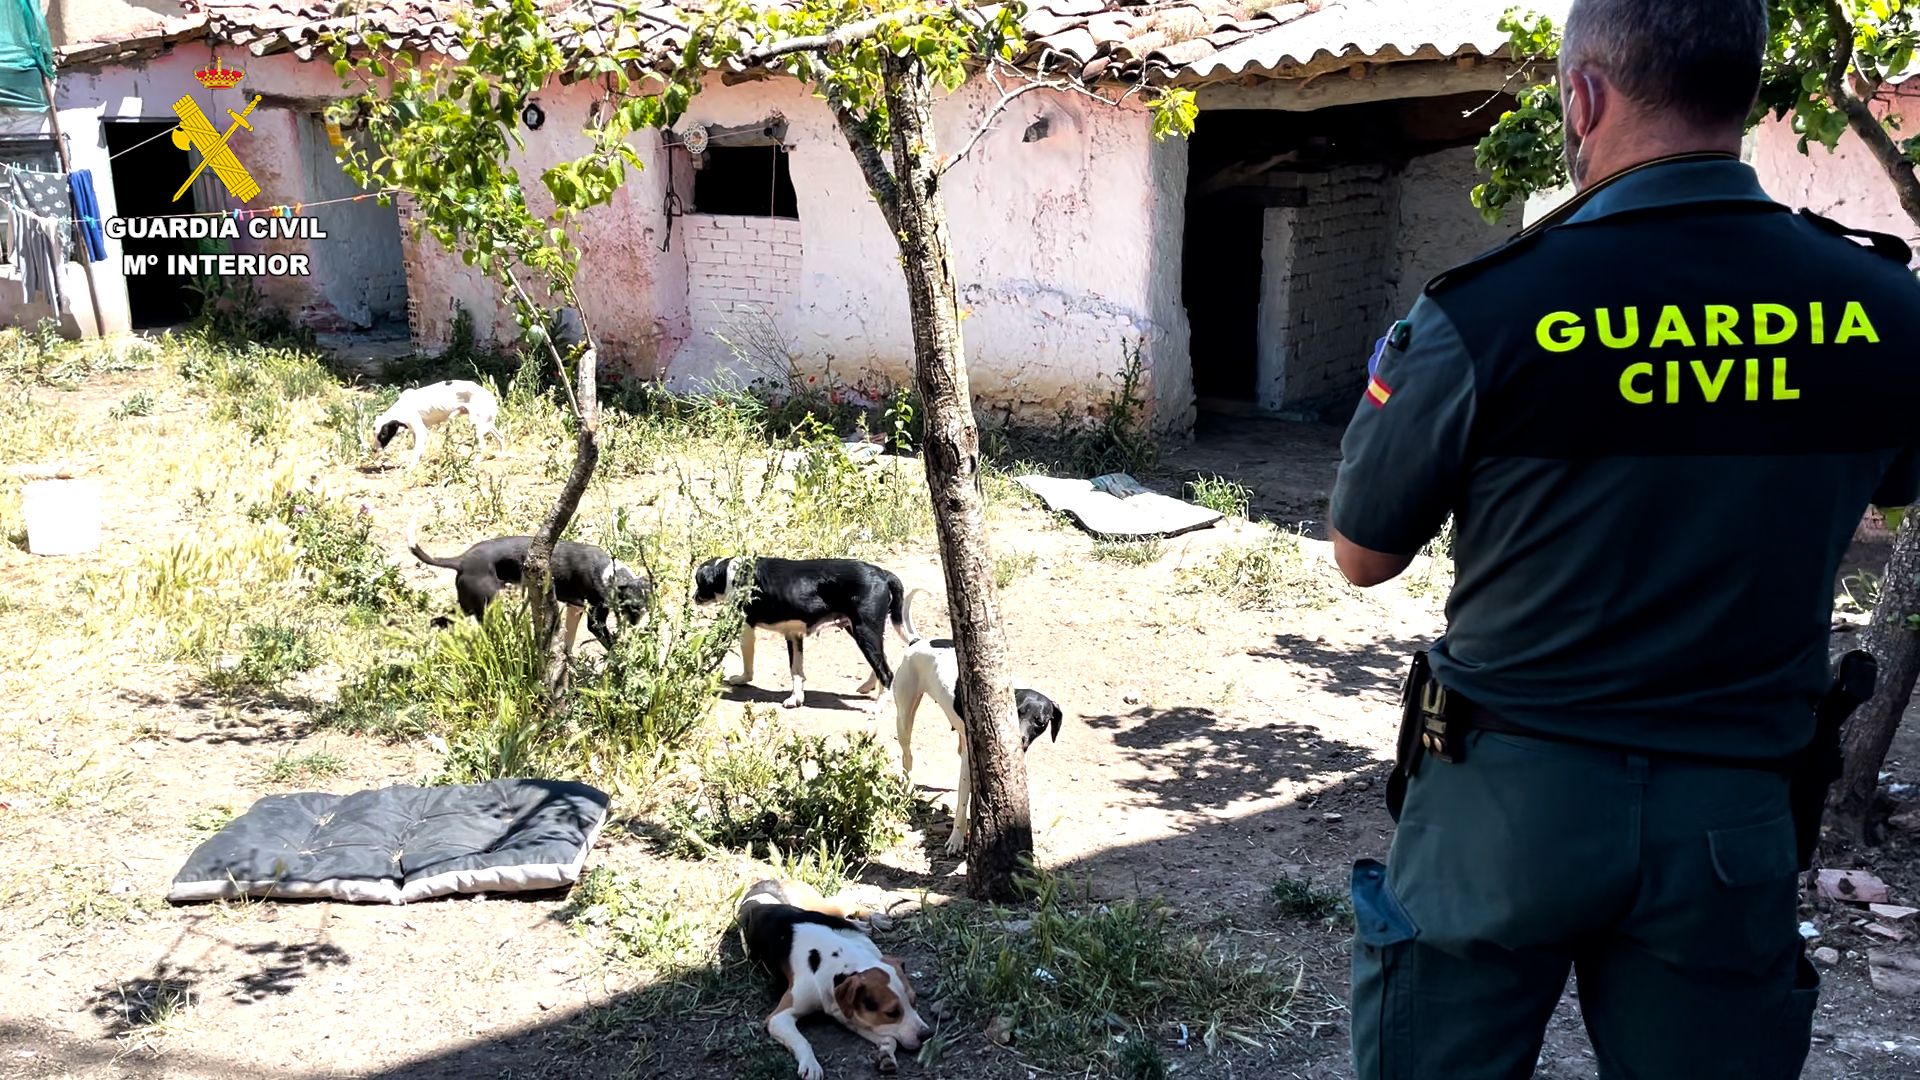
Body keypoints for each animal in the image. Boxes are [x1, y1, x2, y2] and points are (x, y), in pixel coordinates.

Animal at [372, 376, 503, 465]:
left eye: (383, 434)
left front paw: (410, 468)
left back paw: (475, 462)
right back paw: (502, 454)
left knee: (483, 446)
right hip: (485, 423)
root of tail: (489, 394)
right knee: (501, 437)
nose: (373, 450)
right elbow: (419, 450)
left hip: (477, 425)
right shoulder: (415, 432)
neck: (401, 408)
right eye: (374, 434)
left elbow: (415, 452)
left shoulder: (421, 431)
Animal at [408, 518, 648, 645]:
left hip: (467, 607)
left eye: (646, 607)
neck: (609, 573)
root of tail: (462, 560)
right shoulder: (595, 621)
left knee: (438, 620)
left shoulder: (575, 608)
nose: (637, 624)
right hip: (487, 607)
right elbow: (611, 644)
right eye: (631, 607)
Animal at [695, 553, 910, 707]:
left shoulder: (746, 629)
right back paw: (868, 686)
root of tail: (882, 574)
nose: (693, 597)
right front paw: (796, 698)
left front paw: (742, 679)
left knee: (886, 672)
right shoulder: (794, 636)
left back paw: (878, 707)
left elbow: (749, 664)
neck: (728, 574)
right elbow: (796, 672)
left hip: (864, 631)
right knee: (881, 661)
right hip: (859, 630)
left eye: (698, 582)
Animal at [733, 876, 929, 1076]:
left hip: (819, 906)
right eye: (891, 1013)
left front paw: (886, 1054)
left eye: (914, 1001)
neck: (845, 958)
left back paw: (873, 919)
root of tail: (764, 880)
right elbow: (802, 1041)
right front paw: (810, 1064)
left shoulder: (848, 1012)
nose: (927, 1035)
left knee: (844, 905)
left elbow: (890, 1038)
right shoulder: (779, 1018)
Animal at [887, 588, 1067, 849]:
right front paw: (956, 838)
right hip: (904, 717)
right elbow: (962, 804)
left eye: (1040, 722)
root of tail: (917, 641)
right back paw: (908, 784)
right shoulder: (968, 764)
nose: (1018, 740)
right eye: (1015, 712)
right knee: (907, 755)